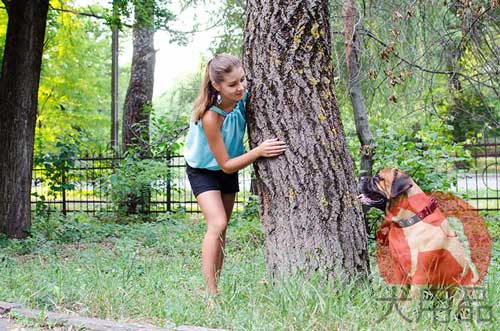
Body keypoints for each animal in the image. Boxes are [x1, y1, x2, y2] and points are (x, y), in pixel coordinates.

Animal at [358, 169, 478, 298]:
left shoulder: (419, 274)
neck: (409, 220)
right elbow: (400, 296)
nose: (361, 178)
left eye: (378, 178)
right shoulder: (399, 271)